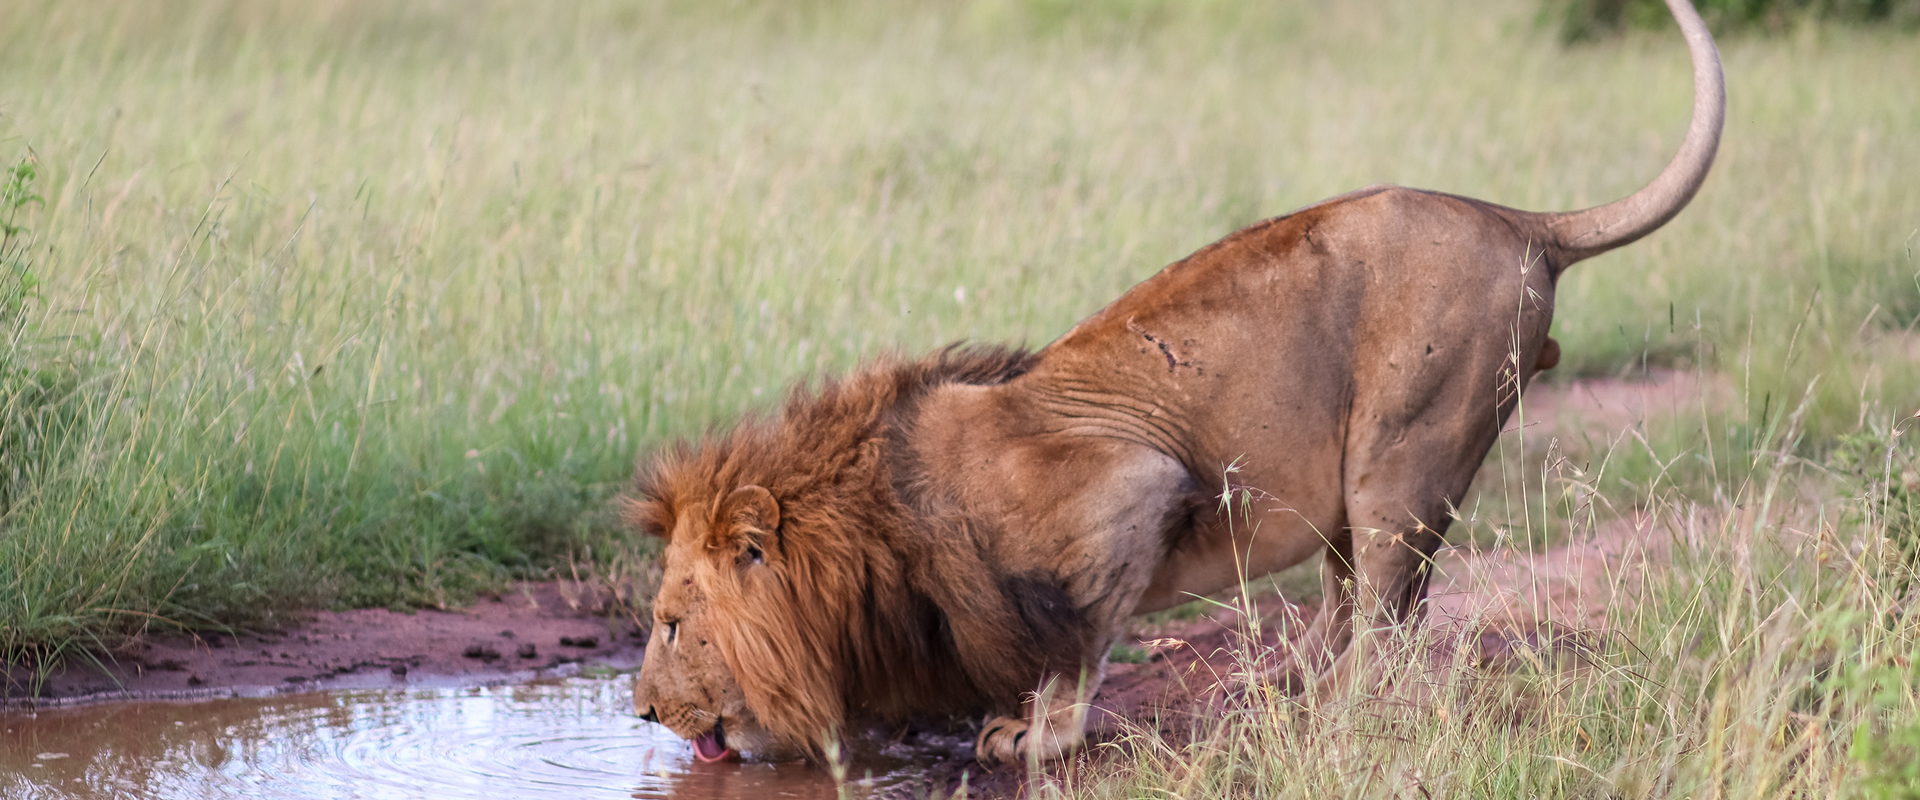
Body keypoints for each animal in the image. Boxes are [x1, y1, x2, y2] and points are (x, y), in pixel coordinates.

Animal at [629, 0, 1723, 767]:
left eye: (673, 622)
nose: (639, 710)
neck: (873, 531)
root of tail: (1518, 220)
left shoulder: (1131, 486)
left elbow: (1072, 653)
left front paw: (1034, 737)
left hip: (1404, 453)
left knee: (1386, 615)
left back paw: (1331, 715)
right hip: (1362, 480)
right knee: (1359, 604)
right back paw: (1283, 688)